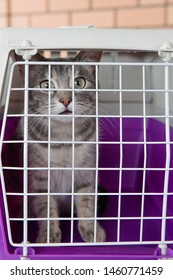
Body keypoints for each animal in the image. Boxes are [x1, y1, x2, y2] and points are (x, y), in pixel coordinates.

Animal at [15, 50, 106, 243]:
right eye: (46, 85)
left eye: (79, 82)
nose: (65, 99)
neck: (64, 138)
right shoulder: (40, 178)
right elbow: (45, 207)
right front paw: (49, 236)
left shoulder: (86, 173)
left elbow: (86, 201)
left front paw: (90, 228)